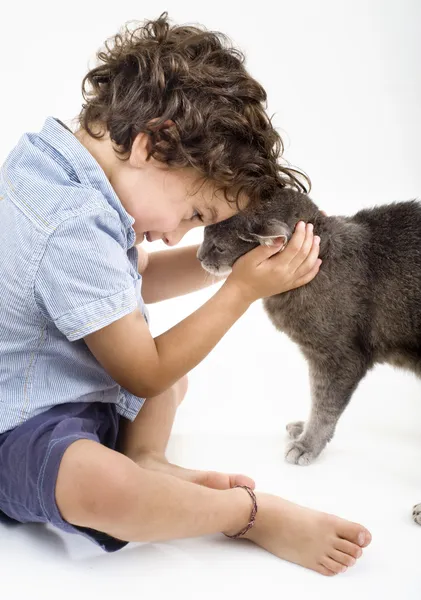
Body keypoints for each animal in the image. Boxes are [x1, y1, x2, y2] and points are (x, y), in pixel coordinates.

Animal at [197, 188, 420, 524]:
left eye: (219, 247)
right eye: (202, 235)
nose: (199, 257)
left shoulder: (338, 357)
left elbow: (324, 406)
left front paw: (307, 445)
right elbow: (317, 399)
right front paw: (303, 430)